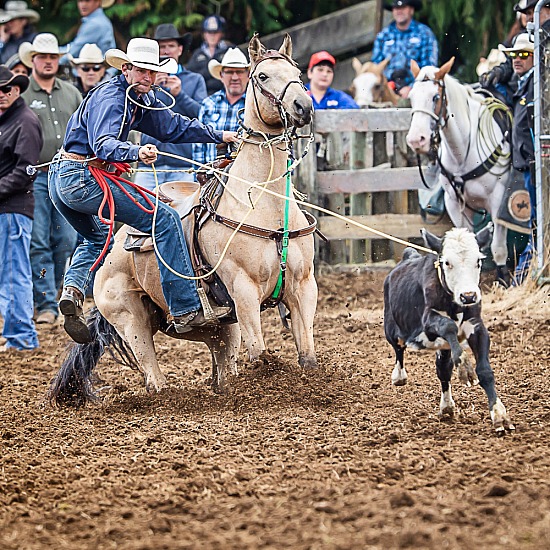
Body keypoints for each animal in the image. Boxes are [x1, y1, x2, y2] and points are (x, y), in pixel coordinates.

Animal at [384, 225, 516, 436]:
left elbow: (485, 371)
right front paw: (465, 368)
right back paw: (399, 376)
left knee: (443, 371)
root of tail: (408, 257)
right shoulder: (428, 321)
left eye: (478, 261)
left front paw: (500, 416)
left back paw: (447, 406)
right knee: (399, 348)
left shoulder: (477, 327)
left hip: (443, 347)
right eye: (447, 262)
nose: (468, 296)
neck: (455, 305)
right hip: (391, 328)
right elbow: (448, 326)